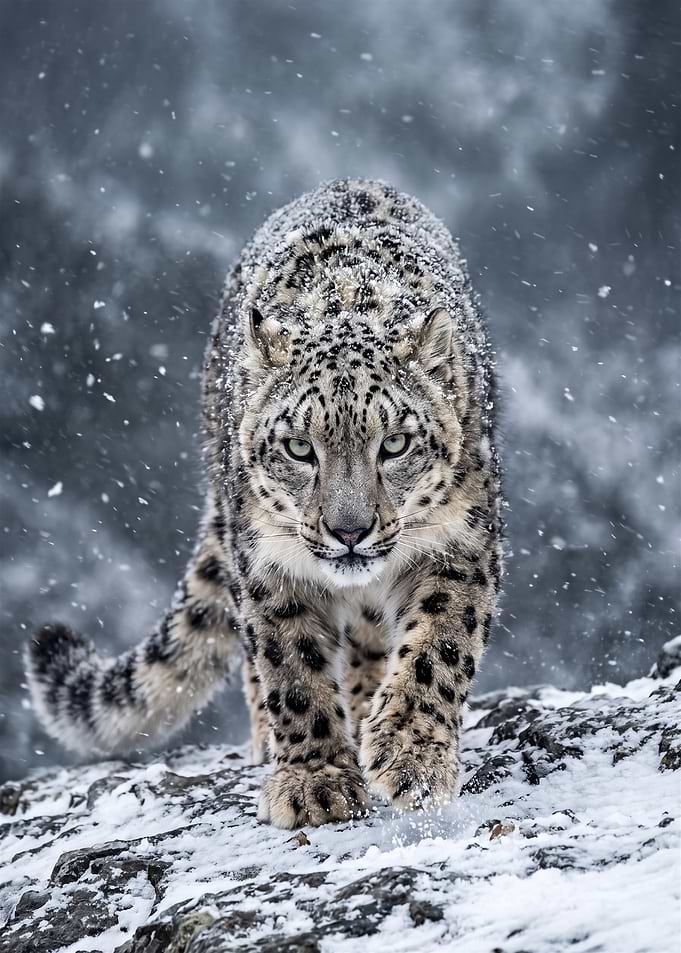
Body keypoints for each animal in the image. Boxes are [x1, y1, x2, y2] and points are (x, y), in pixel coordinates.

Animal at [26, 178, 503, 829]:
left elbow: (439, 646)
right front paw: (314, 783)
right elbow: (291, 665)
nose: (348, 530)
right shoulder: (270, 563)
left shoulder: (459, 544)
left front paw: (411, 756)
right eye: (300, 447)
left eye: (395, 443)